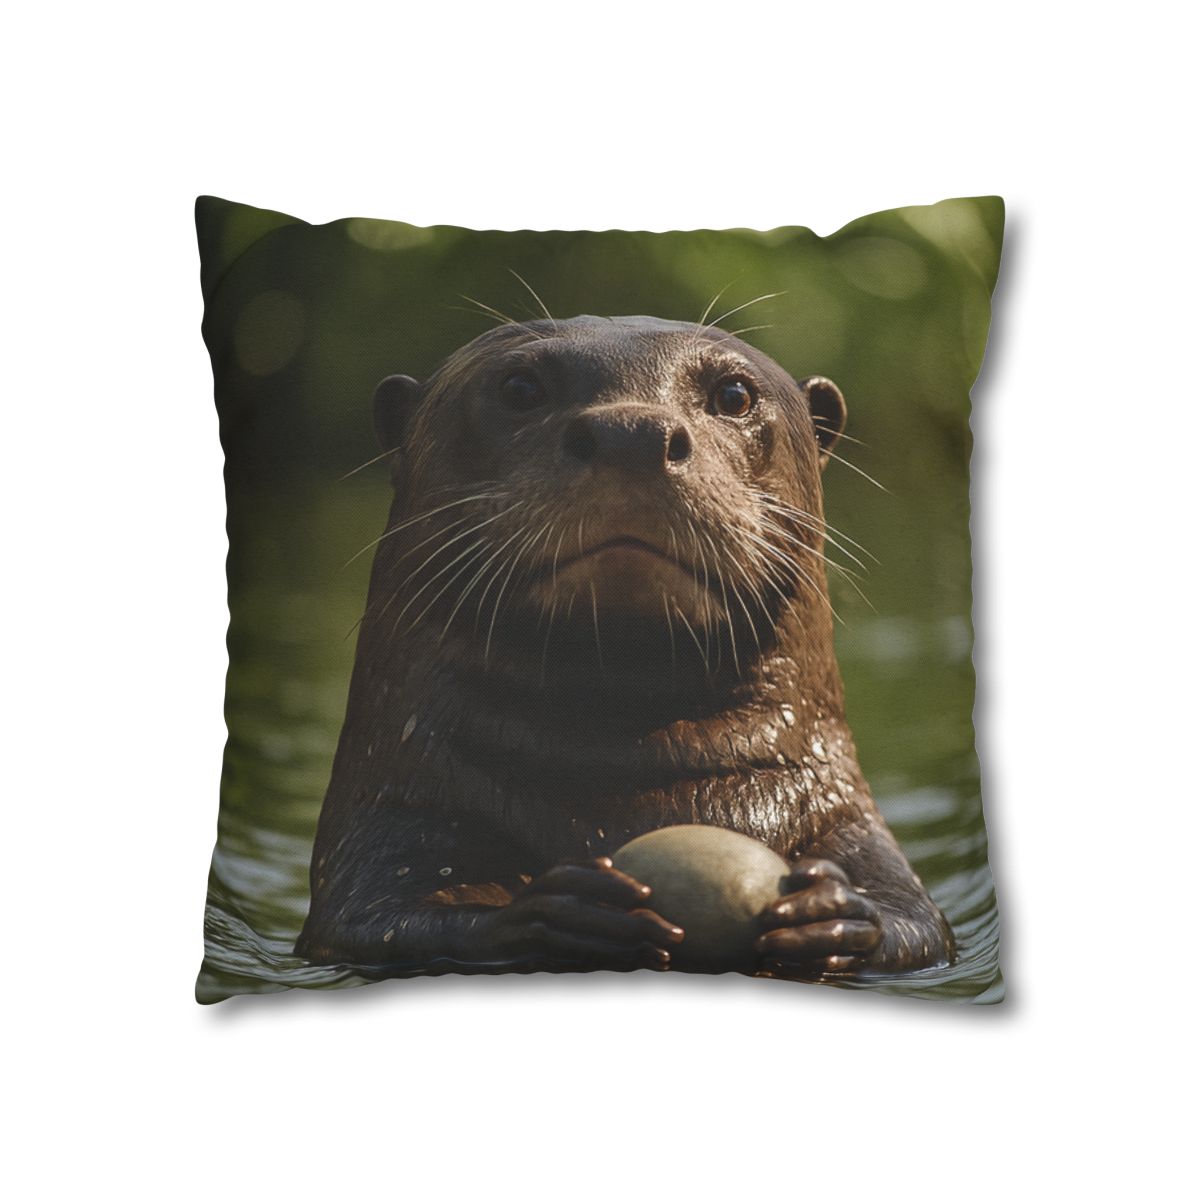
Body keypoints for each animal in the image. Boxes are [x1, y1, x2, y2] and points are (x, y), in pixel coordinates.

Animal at [295, 315, 954, 979]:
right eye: (520, 387)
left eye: (734, 395)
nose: (632, 432)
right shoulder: (391, 823)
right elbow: (383, 920)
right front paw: (565, 909)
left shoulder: (848, 822)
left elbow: (917, 925)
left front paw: (828, 911)